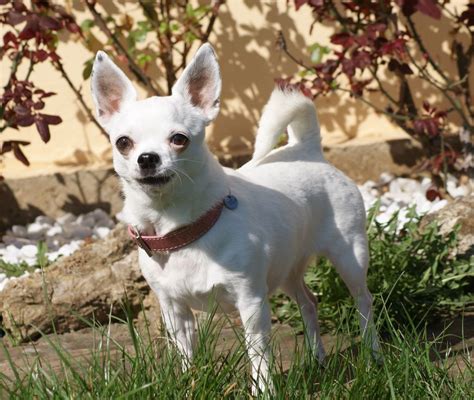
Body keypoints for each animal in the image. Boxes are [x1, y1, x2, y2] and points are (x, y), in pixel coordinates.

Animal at [90, 43, 382, 394]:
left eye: (179, 139)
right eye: (123, 143)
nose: (147, 158)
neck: (182, 229)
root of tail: (307, 149)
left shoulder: (251, 303)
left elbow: (259, 355)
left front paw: (265, 391)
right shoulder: (175, 311)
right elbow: (186, 355)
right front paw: (189, 386)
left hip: (349, 256)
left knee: (363, 301)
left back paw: (373, 356)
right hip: (287, 269)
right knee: (309, 302)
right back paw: (318, 360)